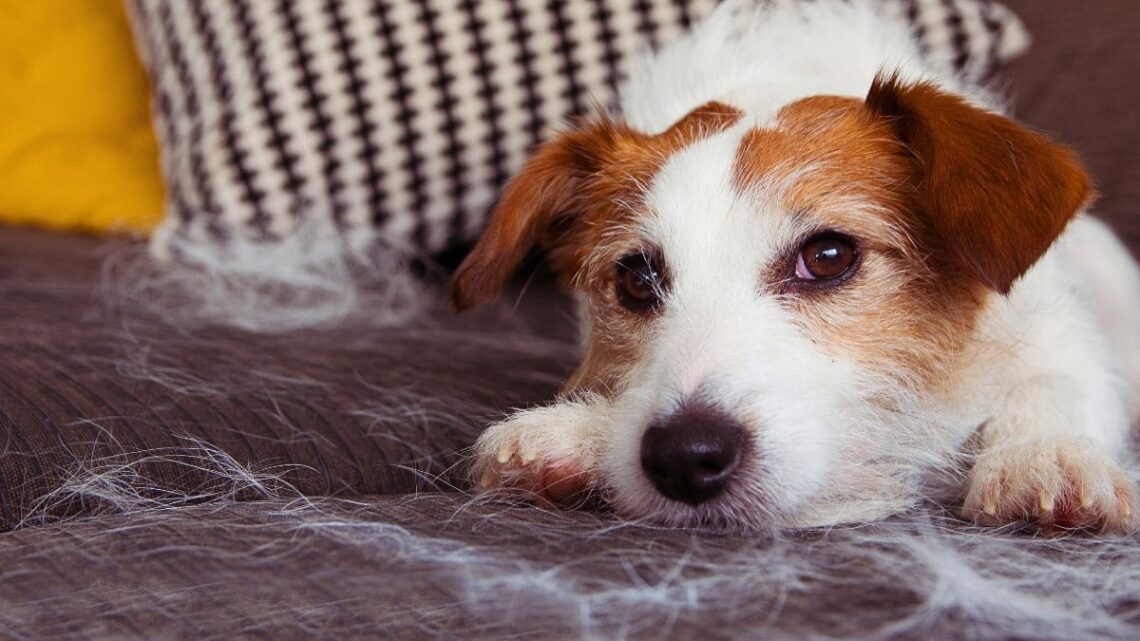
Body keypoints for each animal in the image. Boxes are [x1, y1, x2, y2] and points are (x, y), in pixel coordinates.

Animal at [449, 0, 1135, 531]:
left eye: (827, 257)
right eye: (636, 279)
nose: (685, 456)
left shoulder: (1056, 328)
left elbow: (1055, 380)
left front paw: (1044, 455)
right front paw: (578, 435)